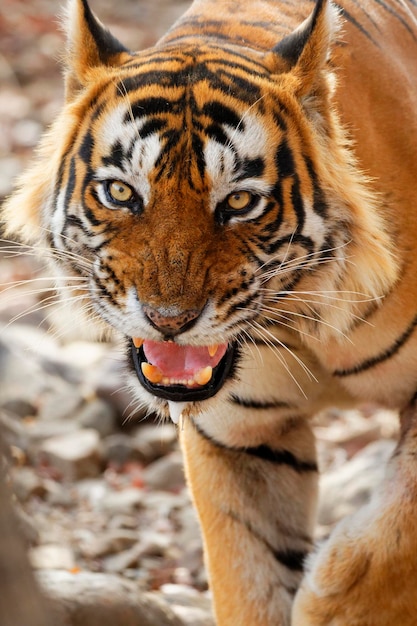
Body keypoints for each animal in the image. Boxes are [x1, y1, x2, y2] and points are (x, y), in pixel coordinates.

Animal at [3, 0, 416, 620]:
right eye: (121, 193)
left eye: (240, 201)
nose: (168, 319)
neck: (308, 325)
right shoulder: (239, 436)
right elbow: (248, 576)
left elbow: (396, 533)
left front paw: (335, 602)